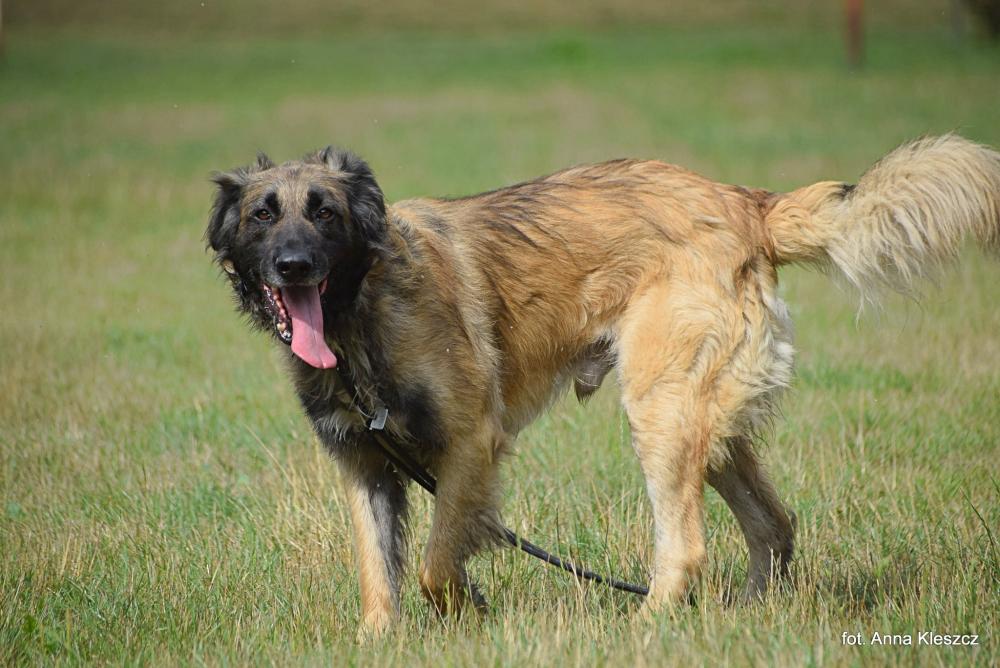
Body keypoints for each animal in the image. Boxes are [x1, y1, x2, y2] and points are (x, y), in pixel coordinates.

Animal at [206, 135, 1000, 633]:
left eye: (326, 213)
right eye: (263, 215)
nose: (295, 265)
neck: (361, 313)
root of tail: (747, 202)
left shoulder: (470, 446)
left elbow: (434, 566)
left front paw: (469, 613)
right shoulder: (366, 466)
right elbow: (381, 572)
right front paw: (383, 639)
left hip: (662, 411)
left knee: (685, 547)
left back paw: (646, 626)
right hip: (707, 419)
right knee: (774, 525)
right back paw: (742, 619)